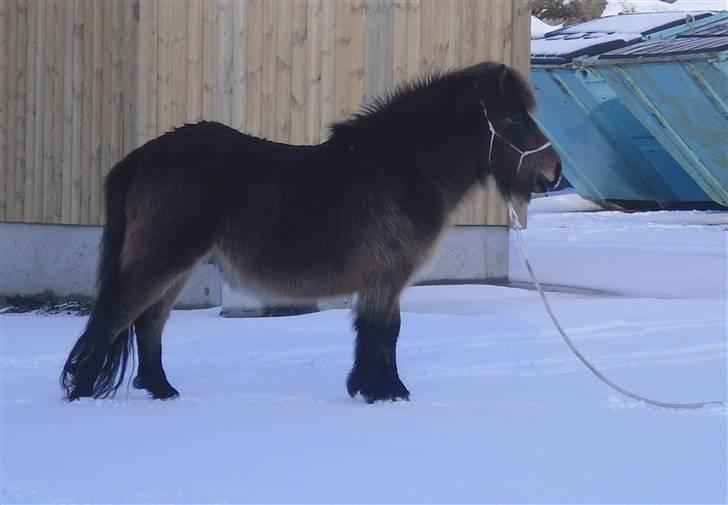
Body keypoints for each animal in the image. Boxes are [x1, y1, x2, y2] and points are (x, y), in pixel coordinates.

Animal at [62, 62, 564, 402]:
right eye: (513, 118)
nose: (553, 171)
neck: (399, 168)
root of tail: (142, 156)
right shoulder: (387, 276)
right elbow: (384, 331)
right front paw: (386, 391)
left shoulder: (382, 280)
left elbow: (379, 332)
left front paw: (371, 387)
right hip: (164, 258)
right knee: (117, 315)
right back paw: (83, 390)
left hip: (176, 266)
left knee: (148, 322)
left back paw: (161, 389)